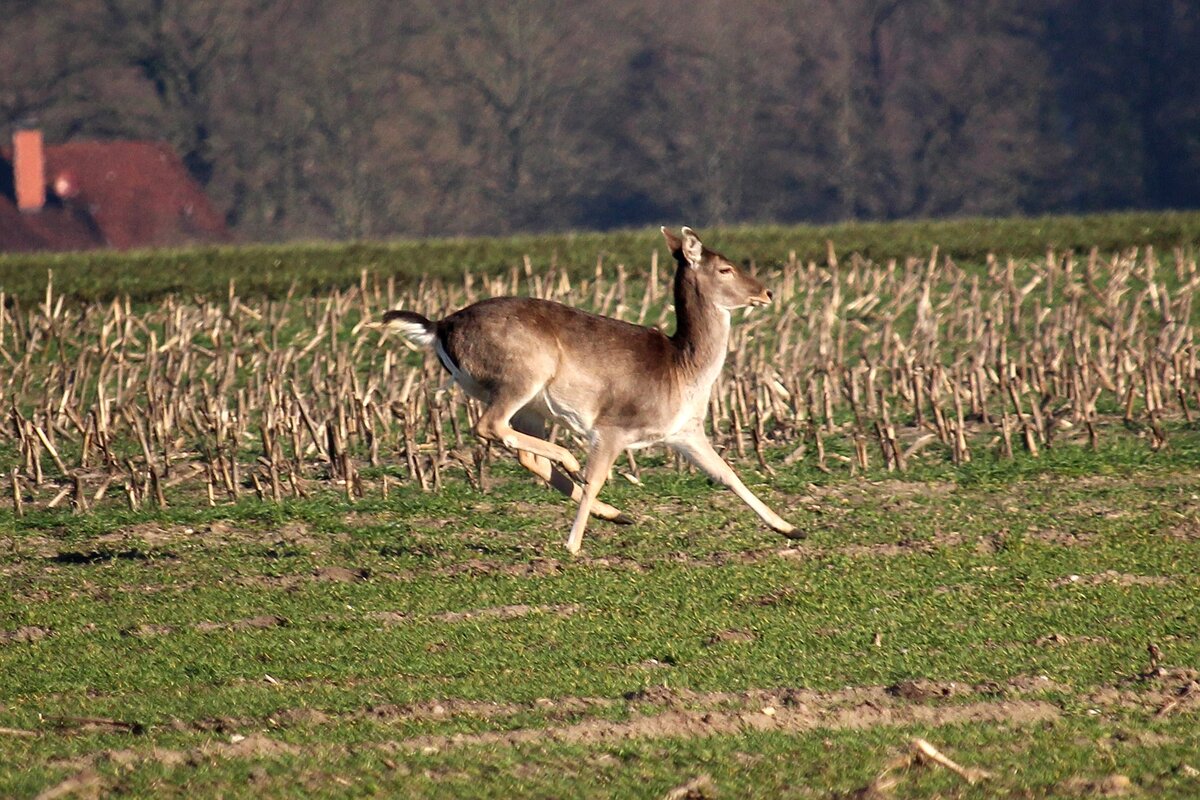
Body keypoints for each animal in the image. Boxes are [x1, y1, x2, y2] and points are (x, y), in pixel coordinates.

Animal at [381, 225, 796, 551]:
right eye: (725, 268)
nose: (767, 293)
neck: (682, 370)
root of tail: (439, 327)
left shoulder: (685, 431)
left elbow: (727, 473)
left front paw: (790, 528)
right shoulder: (612, 426)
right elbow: (596, 477)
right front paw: (573, 544)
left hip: (530, 407)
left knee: (522, 451)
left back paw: (617, 513)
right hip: (523, 375)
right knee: (490, 426)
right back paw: (573, 464)